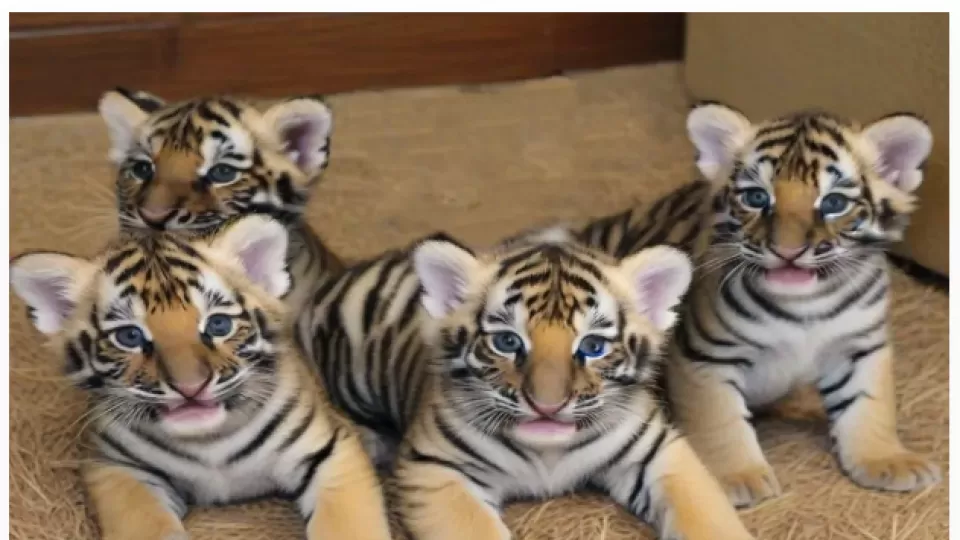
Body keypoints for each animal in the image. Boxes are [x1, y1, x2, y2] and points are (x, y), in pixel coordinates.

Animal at [10, 215, 391, 540]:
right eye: (129, 336)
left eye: (218, 325)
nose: (190, 388)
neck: (209, 444)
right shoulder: (118, 468)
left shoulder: (327, 452)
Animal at [297, 232, 754, 539]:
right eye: (507, 342)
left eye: (592, 346)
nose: (547, 406)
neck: (548, 456)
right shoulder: (436, 468)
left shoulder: (659, 452)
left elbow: (708, 515)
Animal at [574, 102, 941, 507]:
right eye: (756, 198)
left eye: (834, 203)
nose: (788, 252)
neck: (807, 305)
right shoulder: (706, 355)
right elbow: (720, 419)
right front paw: (737, 477)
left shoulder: (860, 347)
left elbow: (870, 405)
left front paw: (886, 459)